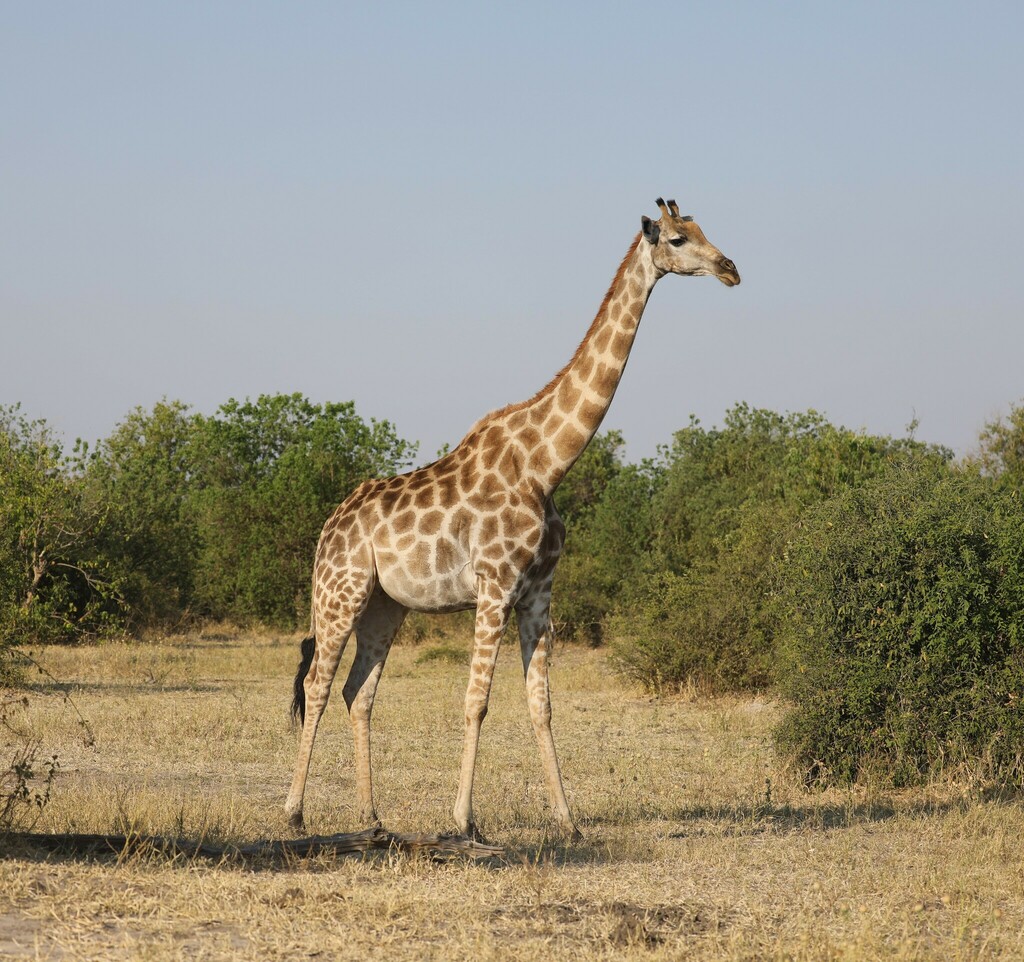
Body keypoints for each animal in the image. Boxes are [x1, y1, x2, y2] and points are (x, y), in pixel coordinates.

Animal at [285, 198, 740, 840]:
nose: (730, 268)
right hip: (339, 592)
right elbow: (476, 701)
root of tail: (328, 528)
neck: (546, 466)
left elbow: (541, 705)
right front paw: (464, 820)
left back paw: (372, 819)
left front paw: (568, 822)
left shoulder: (539, 593)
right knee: (318, 685)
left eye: (703, 229)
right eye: (678, 239)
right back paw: (294, 813)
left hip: (385, 604)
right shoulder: (495, 585)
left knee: (359, 691)